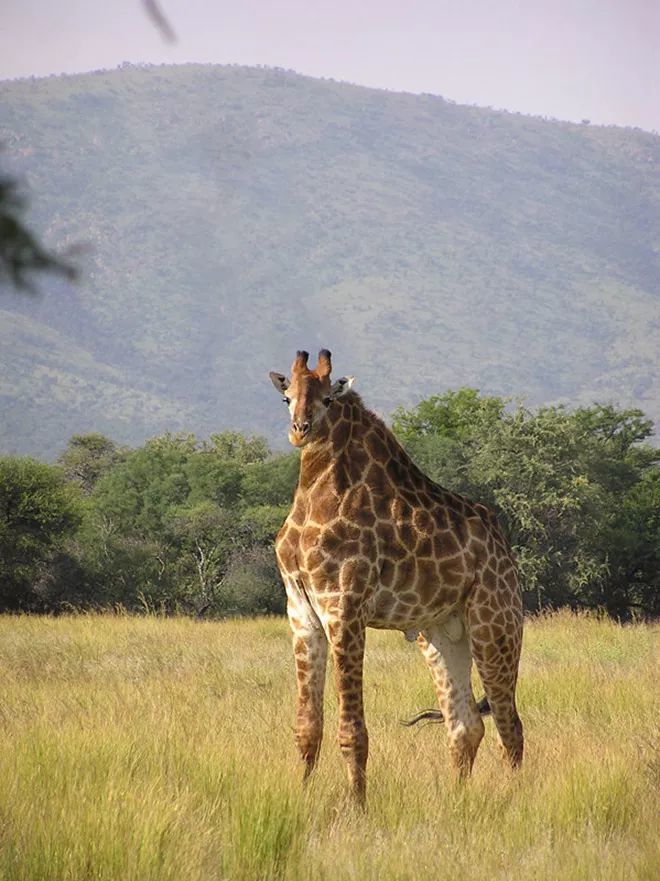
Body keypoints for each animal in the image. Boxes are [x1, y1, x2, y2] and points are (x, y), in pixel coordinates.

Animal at [270, 348, 524, 800]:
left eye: (328, 399)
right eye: (287, 398)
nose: (300, 431)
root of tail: (505, 552)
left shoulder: (345, 607)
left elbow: (352, 731)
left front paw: (356, 805)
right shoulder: (301, 610)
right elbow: (307, 726)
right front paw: (301, 795)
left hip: (495, 625)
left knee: (508, 725)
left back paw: (513, 801)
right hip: (442, 634)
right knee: (465, 725)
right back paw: (457, 802)